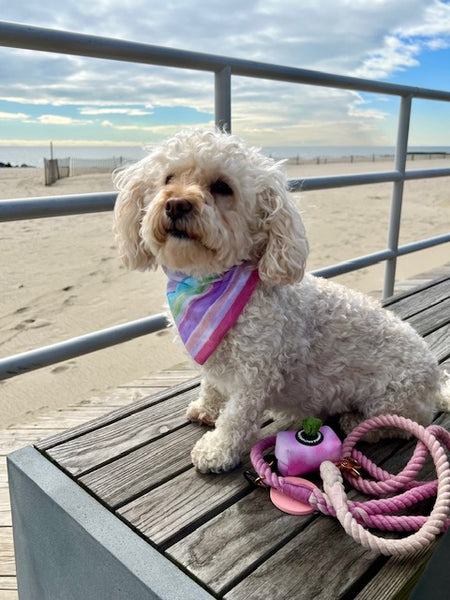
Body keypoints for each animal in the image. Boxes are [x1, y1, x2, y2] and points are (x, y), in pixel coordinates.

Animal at [113, 130, 450, 474]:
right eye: (169, 178)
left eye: (222, 187)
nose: (176, 203)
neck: (210, 281)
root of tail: (435, 381)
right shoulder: (216, 359)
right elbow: (210, 385)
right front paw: (205, 409)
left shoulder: (254, 374)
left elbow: (236, 418)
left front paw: (216, 451)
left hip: (393, 397)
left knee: (401, 424)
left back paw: (356, 420)